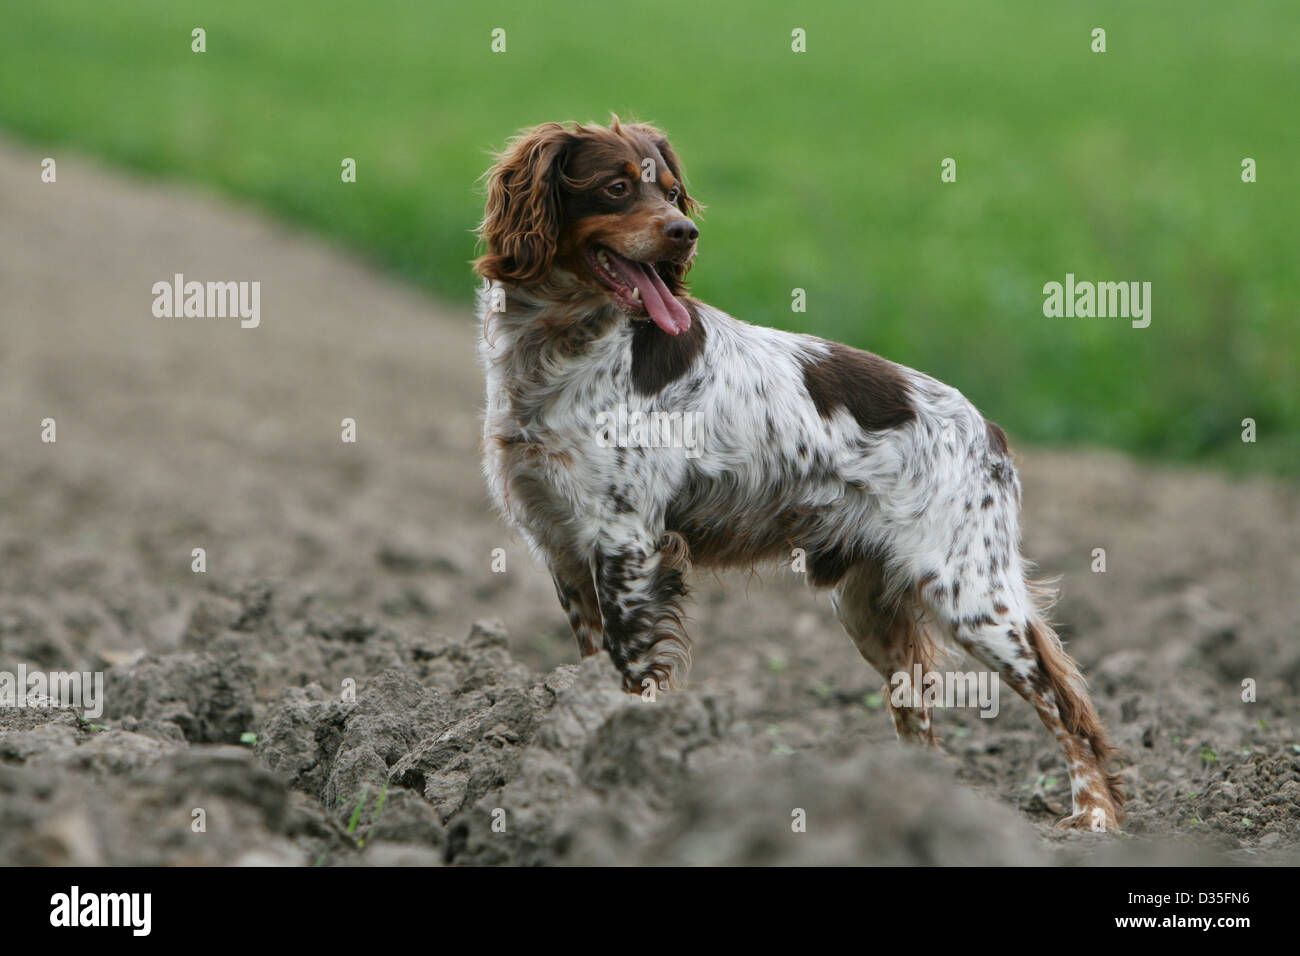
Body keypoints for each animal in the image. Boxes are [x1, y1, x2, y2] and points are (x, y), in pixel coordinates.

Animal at [473, 117, 1123, 832]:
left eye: (670, 191)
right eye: (617, 187)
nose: (685, 232)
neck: (560, 347)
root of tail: (991, 432)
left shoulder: (627, 545)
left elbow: (635, 680)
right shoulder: (562, 546)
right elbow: (592, 673)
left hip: (972, 596)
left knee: (1067, 704)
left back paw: (1094, 816)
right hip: (871, 607)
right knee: (921, 722)